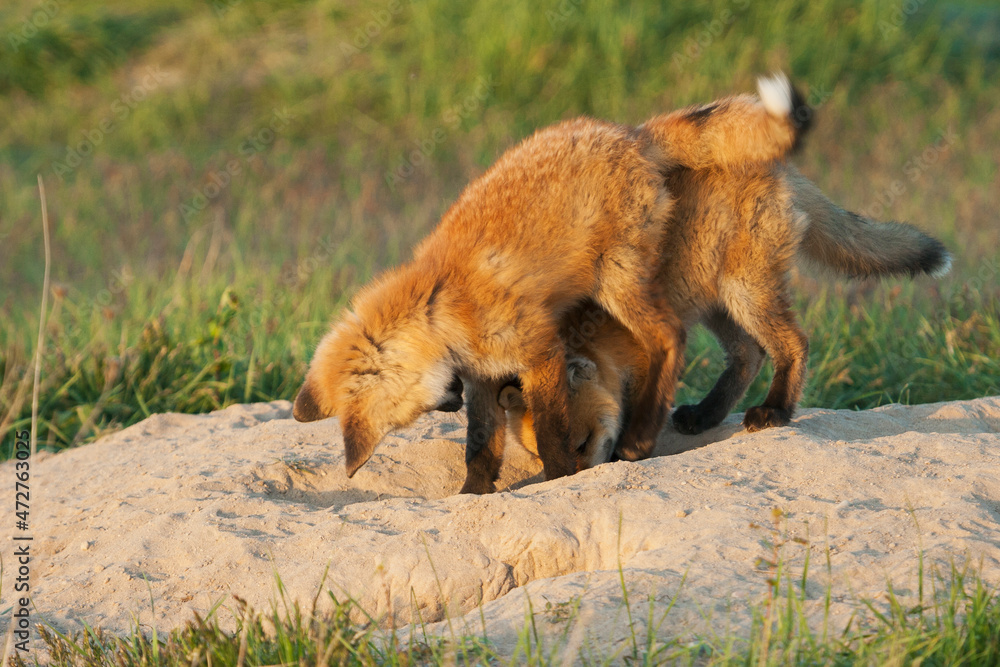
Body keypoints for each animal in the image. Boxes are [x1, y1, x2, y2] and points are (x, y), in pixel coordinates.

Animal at [292, 74, 810, 494]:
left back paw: (693, 424)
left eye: (407, 418)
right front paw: (473, 493)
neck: (440, 304)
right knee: (742, 350)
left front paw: (561, 475)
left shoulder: (540, 351)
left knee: (679, 337)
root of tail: (630, 132)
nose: (447, 404)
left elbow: (547, 428)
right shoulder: (484, 376)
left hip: (634, 282)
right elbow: (480, 444)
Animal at [496, 163, 952, 470]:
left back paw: (775, 411)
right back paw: (706, 414)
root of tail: (778, 167)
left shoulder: (652, 353)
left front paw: (633, 448)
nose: (578, 476)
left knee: (793, 344)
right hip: (714, 302)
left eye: (581, 443)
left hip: (743, 290)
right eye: (543, 457)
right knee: (749, 354)